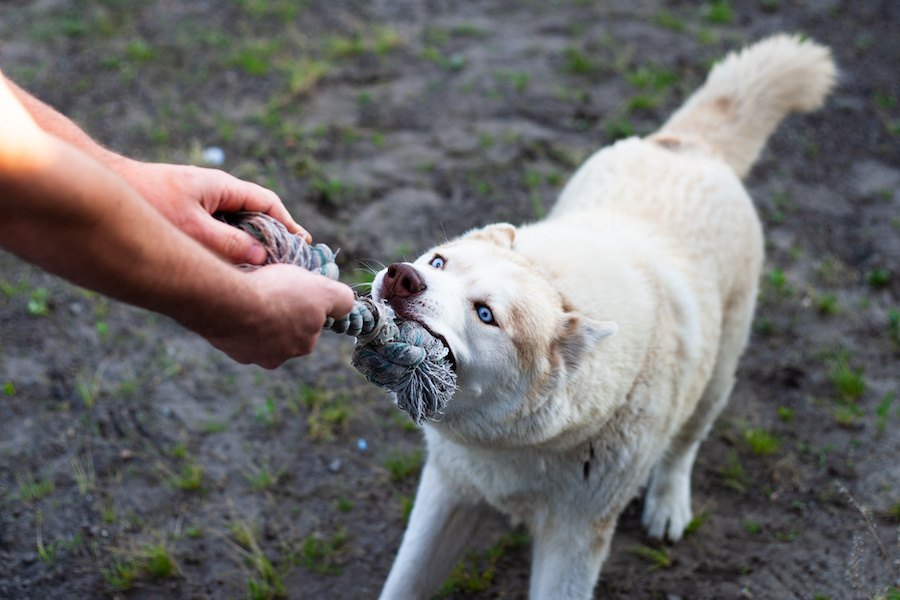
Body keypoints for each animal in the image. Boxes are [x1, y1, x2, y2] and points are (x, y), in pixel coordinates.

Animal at [372, 35, 836, 596]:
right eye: (438, 262)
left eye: (485, 314)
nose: (401, 278)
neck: (511, 447)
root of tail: (690, 144)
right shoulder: (447, 490)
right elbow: (405, 580)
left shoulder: (575, 538)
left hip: (717, 375)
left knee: (686, 442)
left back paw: (668, 503)